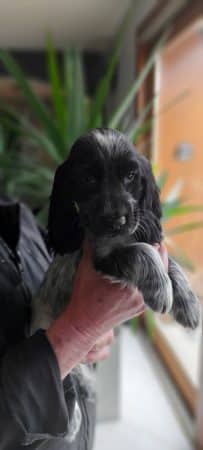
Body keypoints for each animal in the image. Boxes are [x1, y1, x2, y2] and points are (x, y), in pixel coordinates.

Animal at [31, 128, 200, 332]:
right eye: (88, 179)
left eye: (130, 176)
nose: (117, 221)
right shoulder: (102, 256)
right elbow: (141, 251)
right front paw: (160, 290)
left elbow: (171, 263)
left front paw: (189, 305)